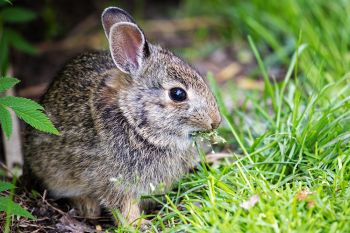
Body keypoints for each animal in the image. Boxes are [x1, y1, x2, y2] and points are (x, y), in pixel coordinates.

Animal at [23, 6, 221, 224]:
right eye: (178, 94)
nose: (215, 121)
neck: (133, 121)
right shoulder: (116, 183)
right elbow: (124, 208)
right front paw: (140, 224)